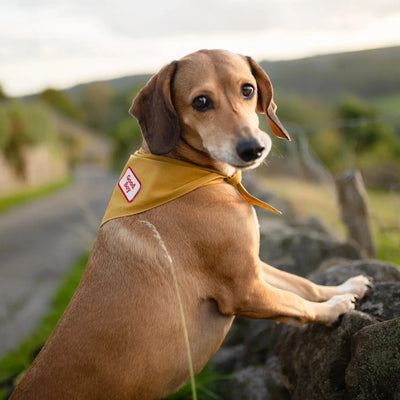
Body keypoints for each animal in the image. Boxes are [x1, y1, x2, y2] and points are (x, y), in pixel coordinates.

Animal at [10, 50, 370, 400]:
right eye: (201, 102)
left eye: (248, 89)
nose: (253, 148)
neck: (191, 171)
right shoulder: (245, 290)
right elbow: (298, 304)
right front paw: (333, 308)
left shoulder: (252, 265)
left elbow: (303, 284)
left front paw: (345, 288)